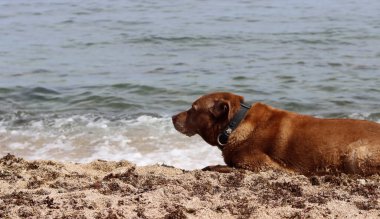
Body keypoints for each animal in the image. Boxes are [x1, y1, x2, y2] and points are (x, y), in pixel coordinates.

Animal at [173, 91, 380, 175]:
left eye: (193, 109)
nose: (173, 117)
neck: (235, 125)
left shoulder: (262, 165)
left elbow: (220, 166)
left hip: (356, 153)